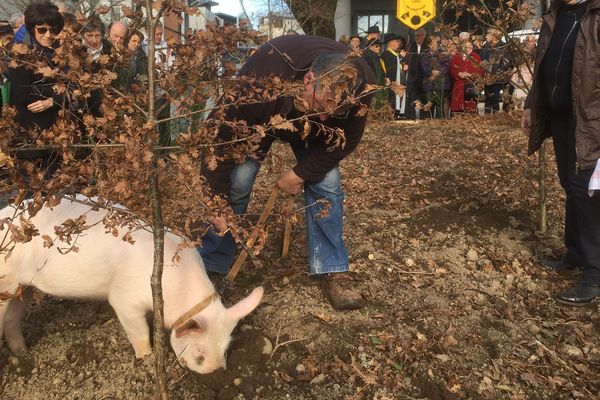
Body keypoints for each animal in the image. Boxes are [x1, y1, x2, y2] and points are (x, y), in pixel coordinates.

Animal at [0, 198, 262, 374]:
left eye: (226, 347)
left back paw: (22, 353)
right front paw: (146, 358)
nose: (215, 373)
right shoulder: (124, 299)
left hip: (23, 288)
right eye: (200, 352)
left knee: (12, 319)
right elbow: (139, 332)